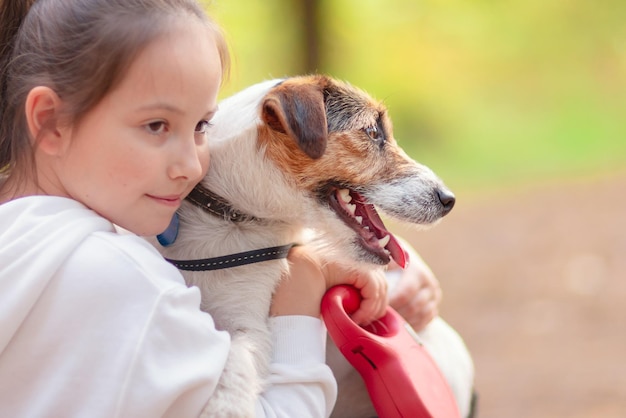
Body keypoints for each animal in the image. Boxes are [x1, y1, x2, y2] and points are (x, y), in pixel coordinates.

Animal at [152, 76, 472, 418]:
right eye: (372, 132)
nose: (448, 200)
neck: (229, 218)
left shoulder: (250, 325)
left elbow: (236, 365)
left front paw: (224, 408)